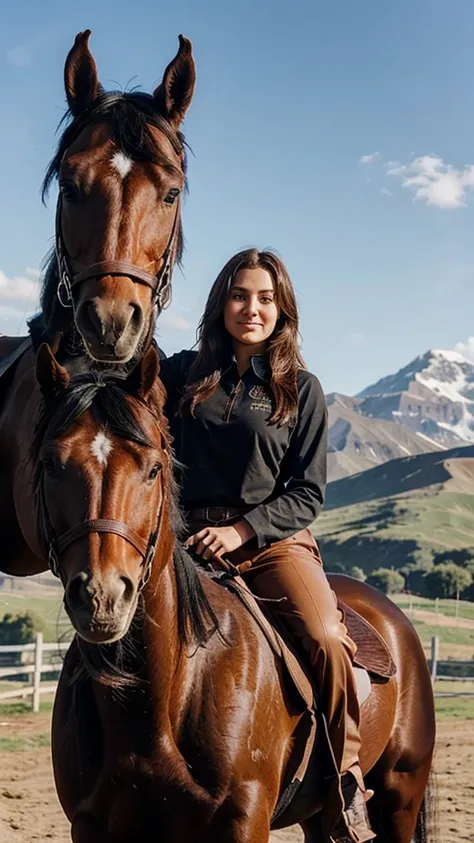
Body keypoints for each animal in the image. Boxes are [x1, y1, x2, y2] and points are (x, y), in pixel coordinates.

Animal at [26, 344, 436, 843]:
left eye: (153, 469)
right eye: (50, 463)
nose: (103, 597)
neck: (159, 701)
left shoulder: (243, 823)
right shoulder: (91, 826)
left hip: (400, 795)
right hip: (319, 815)